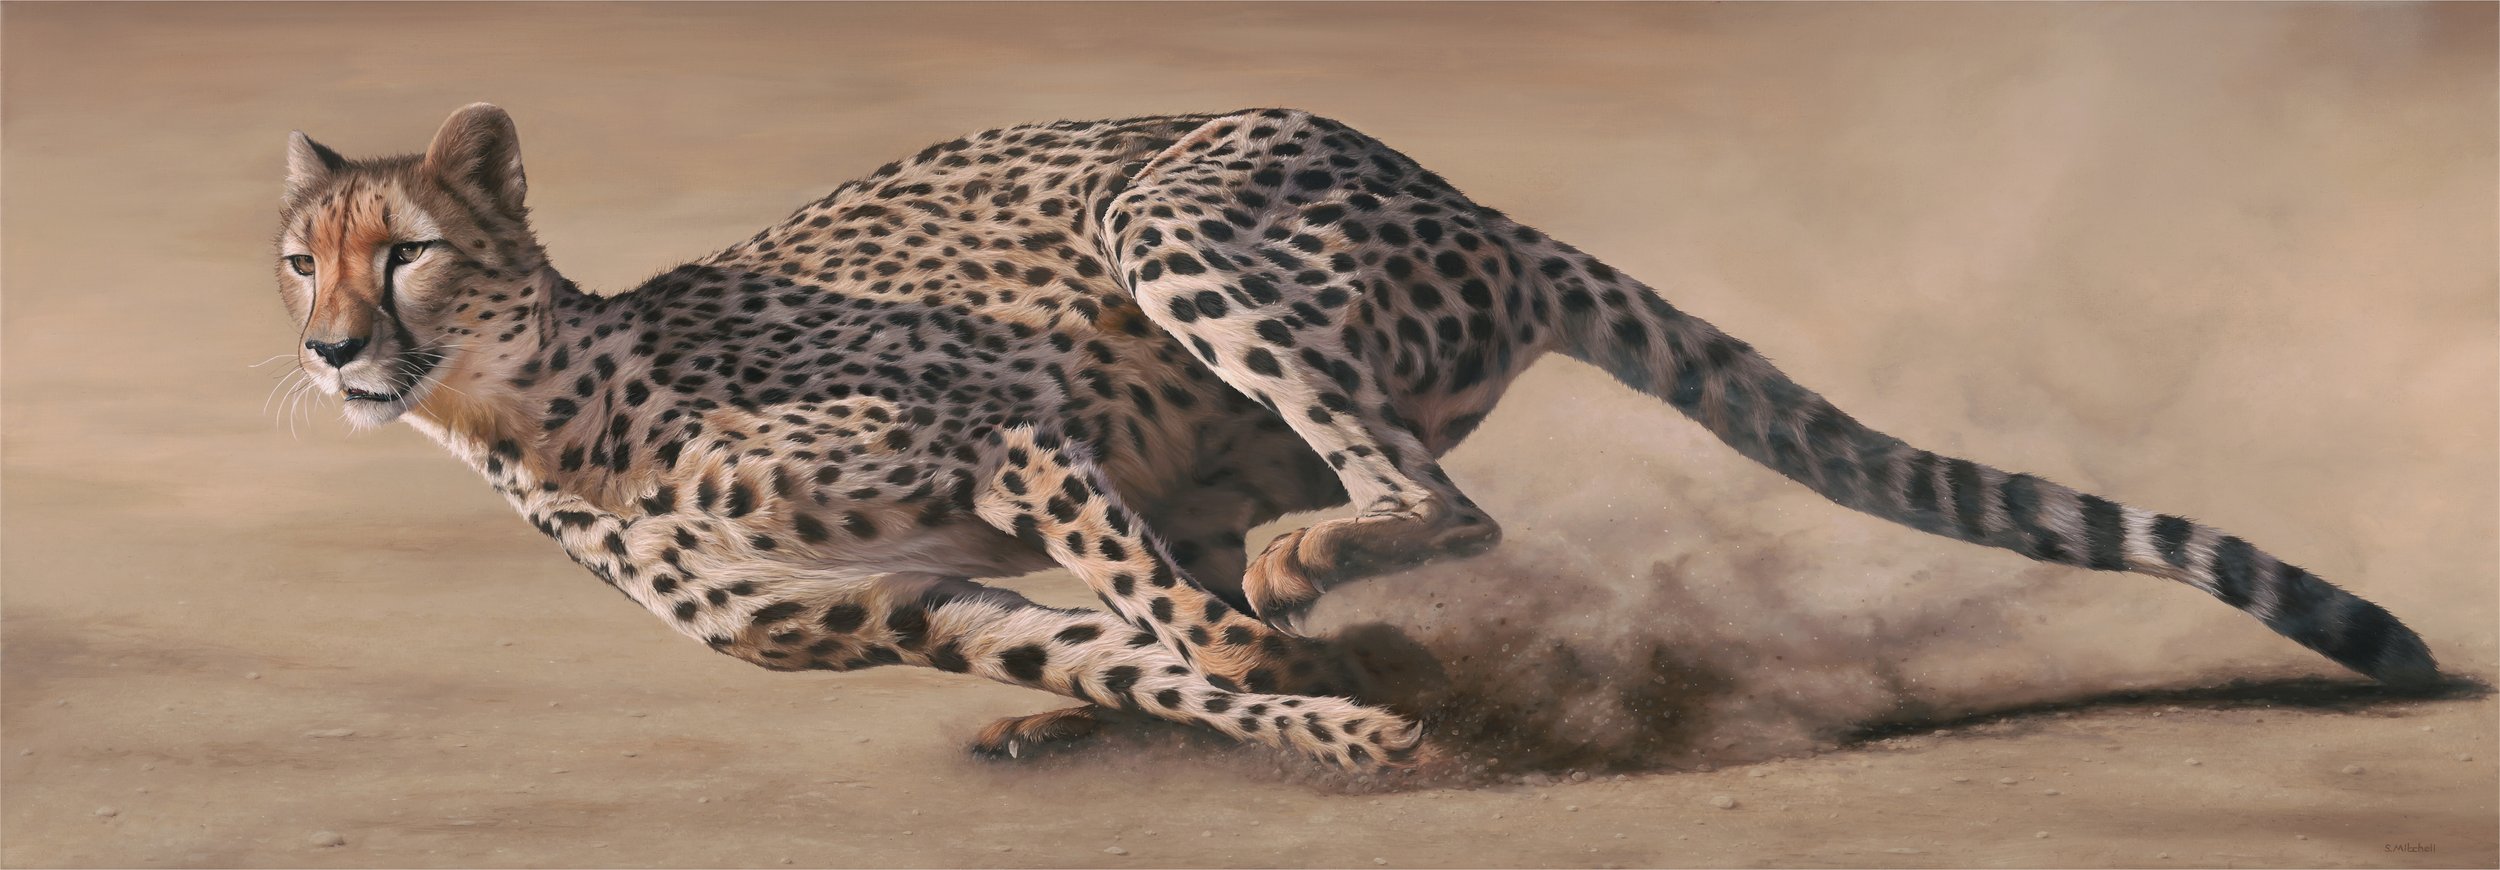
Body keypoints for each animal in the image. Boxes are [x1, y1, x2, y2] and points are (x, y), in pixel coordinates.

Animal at [270, 104, 2438, 770]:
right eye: (300, 255)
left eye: (412, 253)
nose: (331, 350)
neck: (535, 413)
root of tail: (1457, 189)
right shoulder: (918, 606)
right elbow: (1102, 646)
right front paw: (1343, 739)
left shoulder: (1008, 426)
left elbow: (1147, 604)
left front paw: (1280, 672)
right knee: (1317, 524)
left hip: (1173, 225)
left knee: (1433, 501)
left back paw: (1309, 578)